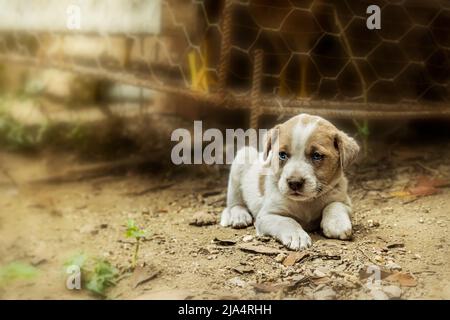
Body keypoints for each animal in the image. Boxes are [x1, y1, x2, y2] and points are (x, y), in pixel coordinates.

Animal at [220, 113, 360, 250]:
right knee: (234, 203)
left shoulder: (344, 201)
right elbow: (286, 221)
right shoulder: (266, 215)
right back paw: (239, 216)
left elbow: (334, 205)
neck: (306, 203)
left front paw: (337, 223)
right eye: (282, 154)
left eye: (316, 156)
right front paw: (297, 236)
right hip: (242, 158)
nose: (294, 183)